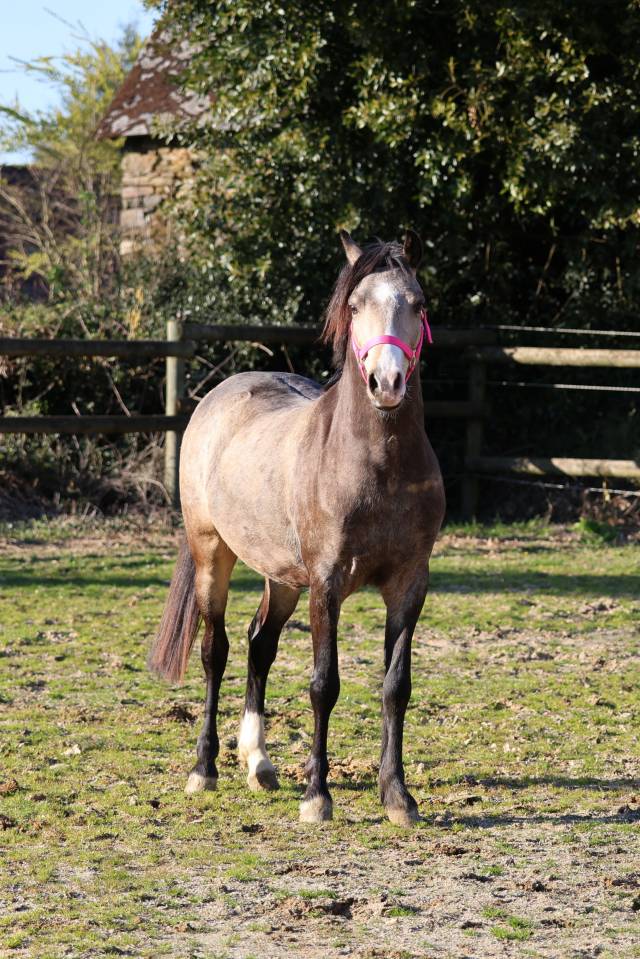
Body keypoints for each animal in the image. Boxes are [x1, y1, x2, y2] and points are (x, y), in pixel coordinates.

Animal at [149, 229, 445, 826]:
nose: (386, 382)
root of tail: (220, 394)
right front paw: (317, 796)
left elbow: (395, 687)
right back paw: (205, 769)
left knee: (259, 644)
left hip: (282, 576)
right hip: (213, 555)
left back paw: (259, 763)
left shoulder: (410, 584)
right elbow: (323, 684)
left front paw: (397, 796)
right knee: (215, 650)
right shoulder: (326, 584)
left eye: (419, 304)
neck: (377, 467)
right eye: (355, 306)